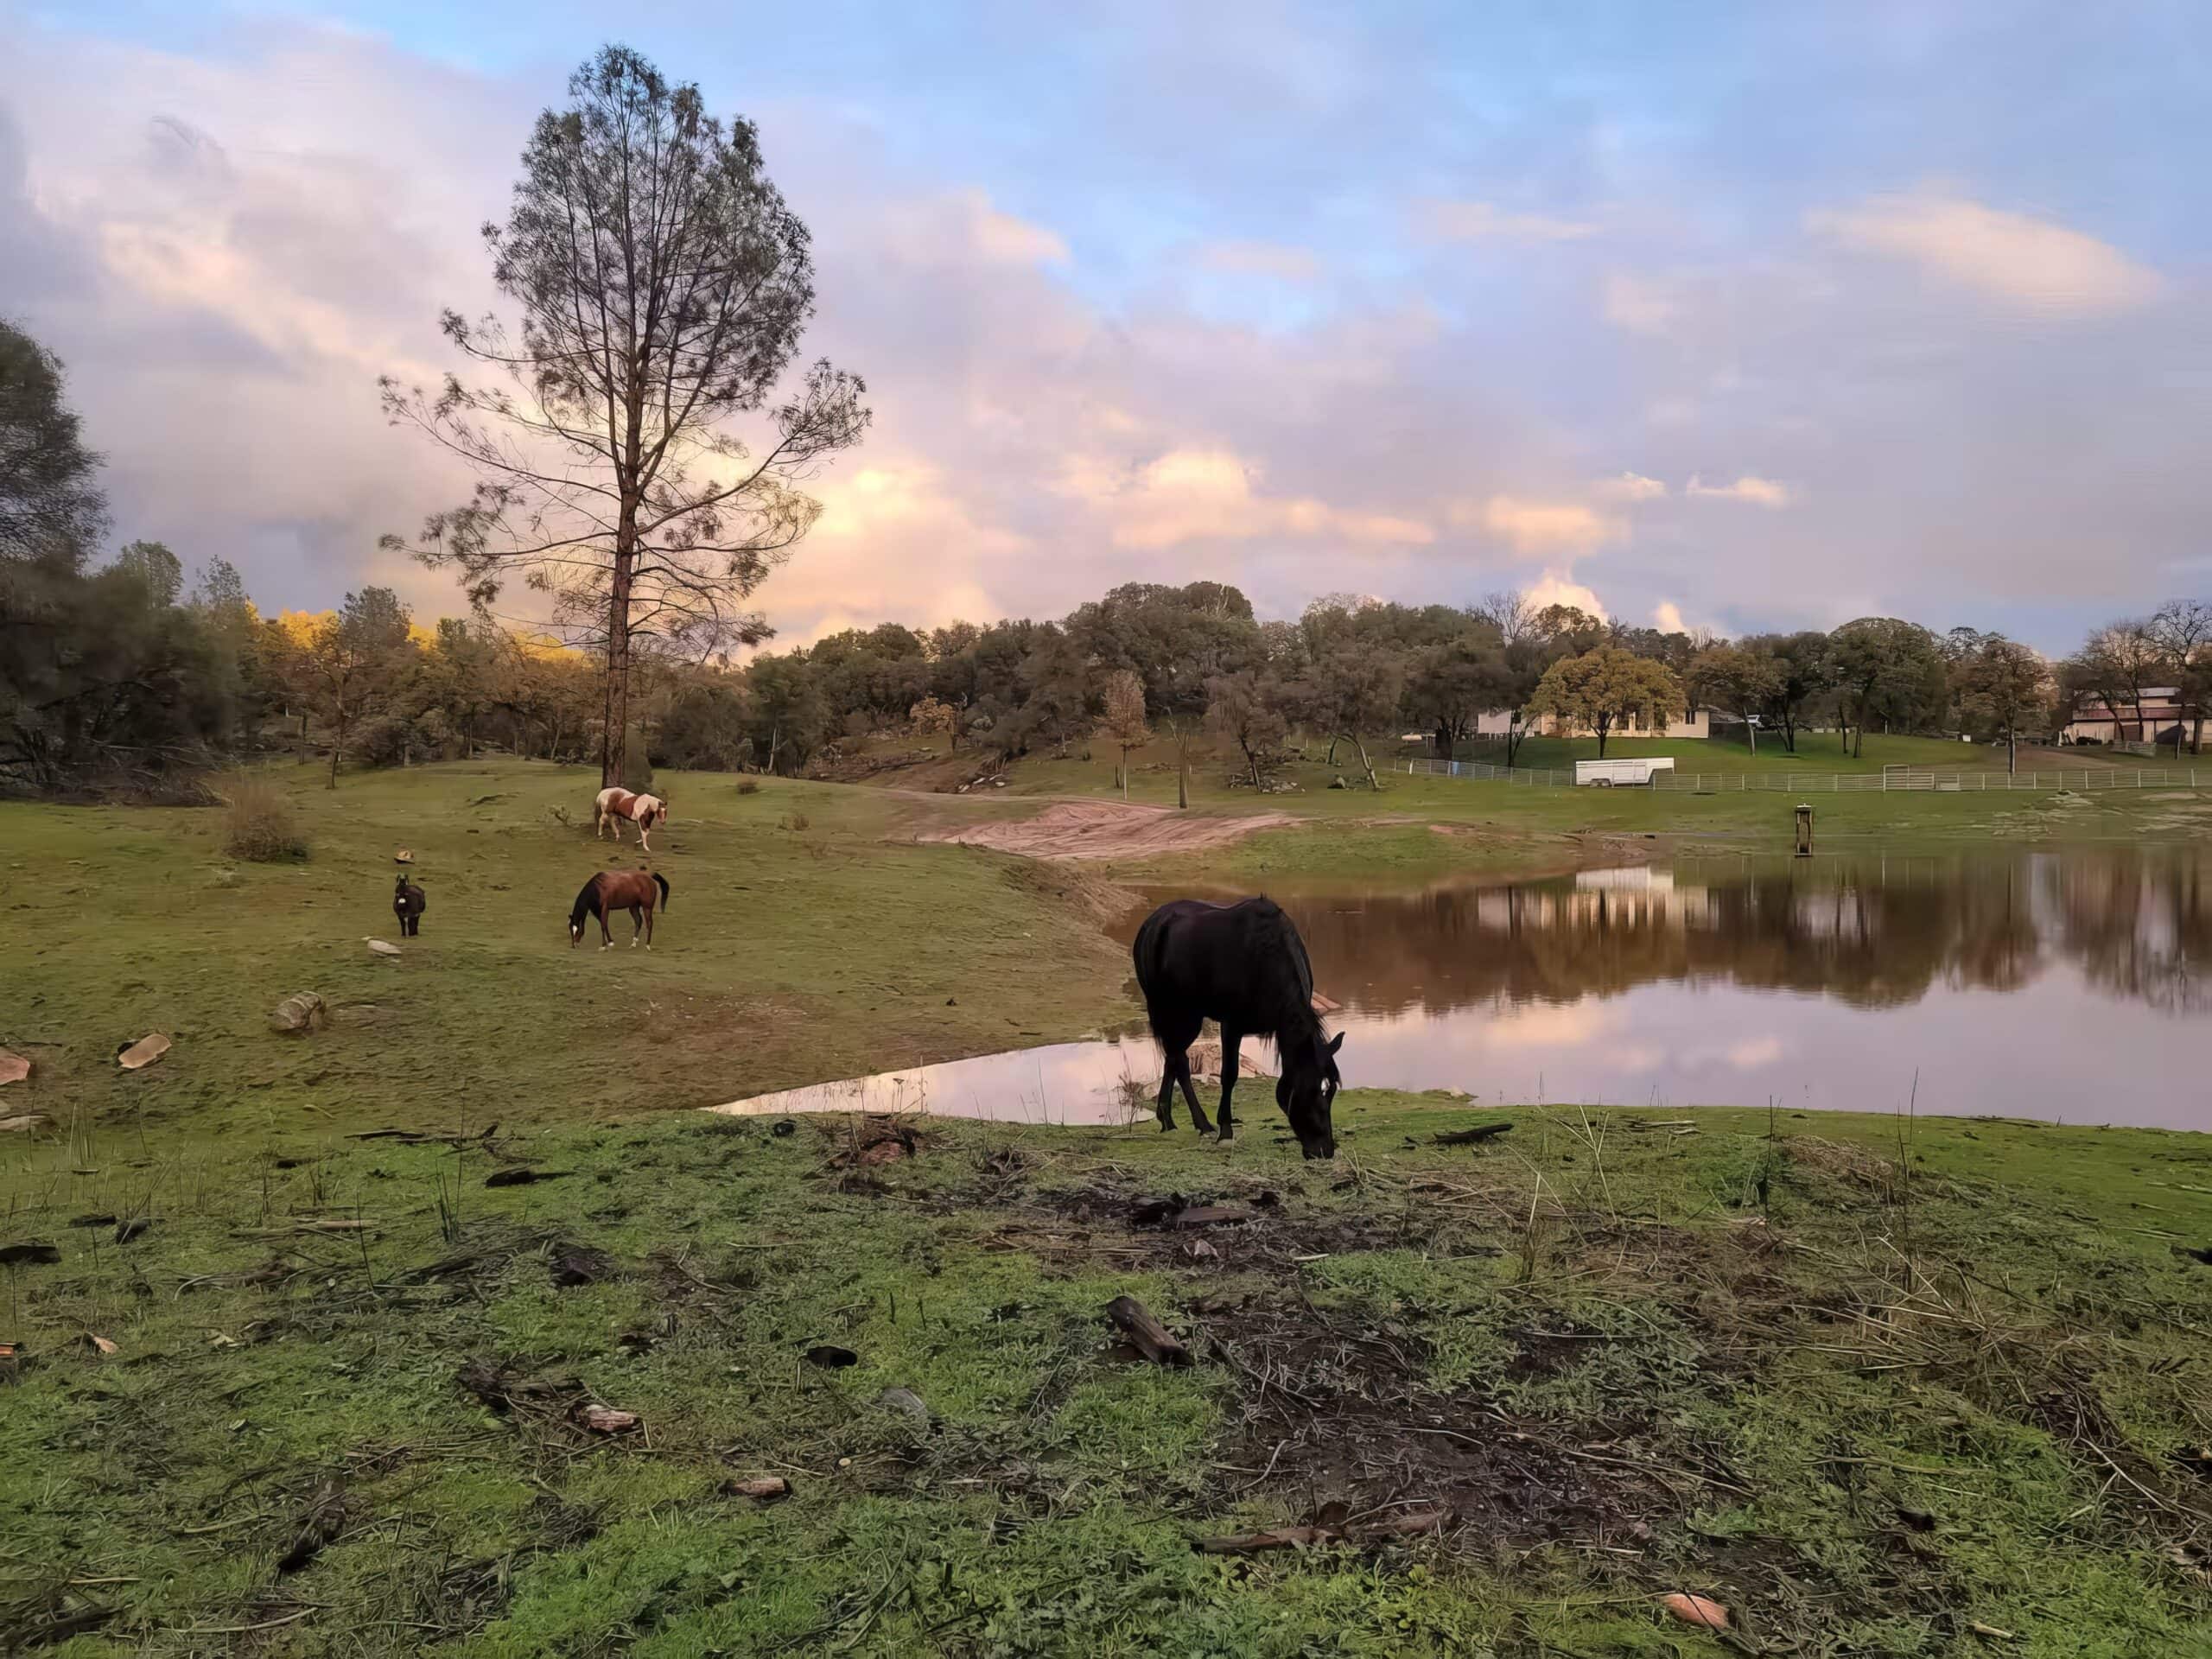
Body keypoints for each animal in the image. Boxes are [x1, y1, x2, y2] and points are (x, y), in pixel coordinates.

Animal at [1132, 896, 1343, 1159]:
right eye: (1311, 1090)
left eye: (1331, 1090)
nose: (1324, 1150)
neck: (1266, 959)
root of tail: (1152, 922)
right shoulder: (1231, 1025)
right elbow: (1229, 1075)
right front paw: (1225, 1130)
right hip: (1174, 1011)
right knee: (1179, 1060)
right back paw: (1202, 1124)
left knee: (1172, 1056)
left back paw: (1167, 1119)